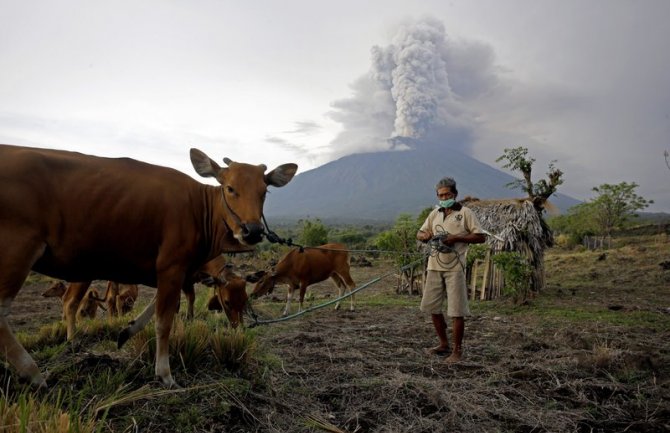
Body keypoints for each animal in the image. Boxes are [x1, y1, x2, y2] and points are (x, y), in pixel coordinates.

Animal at [0, 143, 296, 386]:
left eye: (264, 192)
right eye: (229, 188)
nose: (253, 231)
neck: (199, 209)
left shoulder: (173, 272)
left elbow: (159, 309)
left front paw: (126, 332)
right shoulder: (172, 267)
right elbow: (164, 321)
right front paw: (164, 373)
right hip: (17, 252)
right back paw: (34, 372)